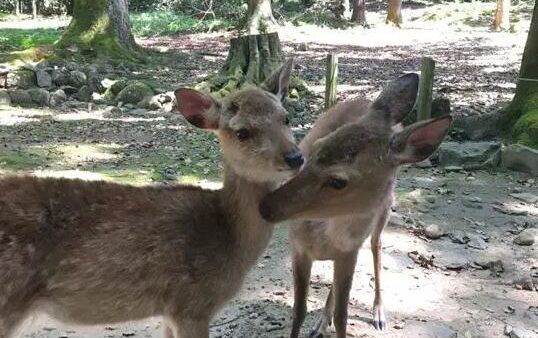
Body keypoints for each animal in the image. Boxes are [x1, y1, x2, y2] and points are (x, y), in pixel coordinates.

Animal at [0, 58, 302, 338]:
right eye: (242, 132)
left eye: (286, 117)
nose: (295, 157)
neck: (230, 238)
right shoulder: (190, 302)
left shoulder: (169, 310)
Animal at [258, 74, 450, 338]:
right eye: (317, 147)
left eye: (339, 181)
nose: (266, 205)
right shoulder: (298, 248)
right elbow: (299, 311)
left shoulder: (349, 252)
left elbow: (343, 317)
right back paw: (321, 323)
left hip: (383, 211)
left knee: (376, 247)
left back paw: (378, 314)